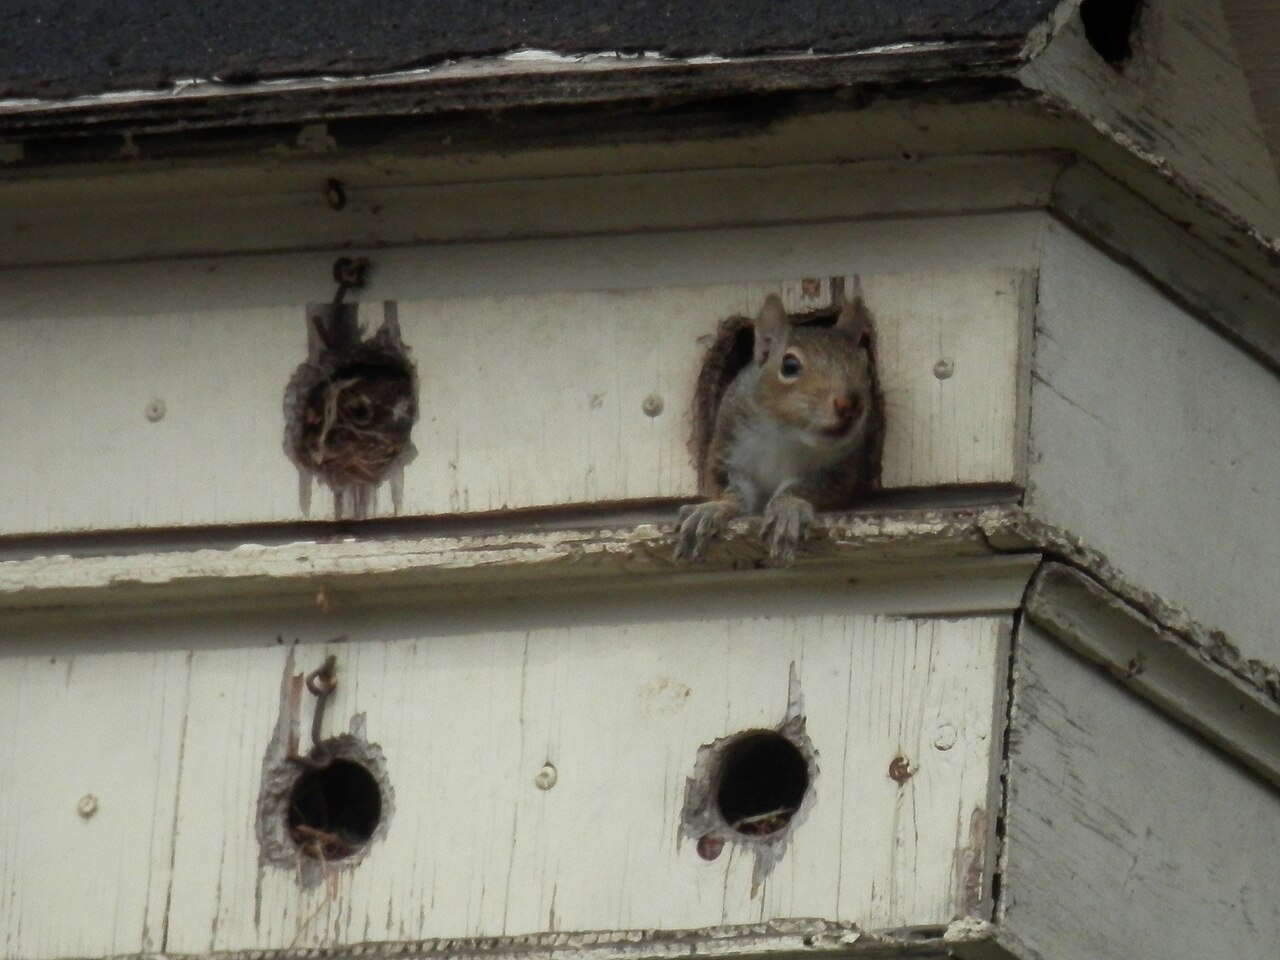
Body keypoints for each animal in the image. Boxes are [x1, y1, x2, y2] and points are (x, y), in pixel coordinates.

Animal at [674, 292, 883, 563]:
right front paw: (712, 509)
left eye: (866, 365)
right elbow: (732, 491)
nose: (850, 403)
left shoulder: (839, 469)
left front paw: (787, 508)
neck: (786, 434)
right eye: (789, 365)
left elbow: (804, 489)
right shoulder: (729, 450)